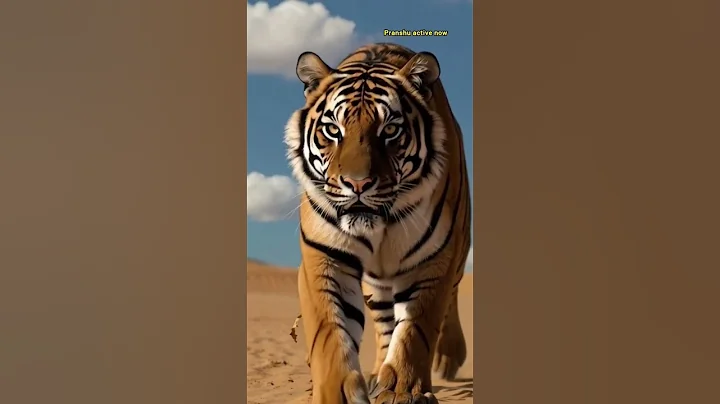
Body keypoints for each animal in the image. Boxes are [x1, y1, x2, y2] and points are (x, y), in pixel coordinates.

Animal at [285, 43, 471, 404]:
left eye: (390, 131)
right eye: (333, 130)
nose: (357, 184)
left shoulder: (433, 259)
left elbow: (415, 329)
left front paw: (404, 391)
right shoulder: (326, 255)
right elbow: (330, 331)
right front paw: (335, 392)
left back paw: (446, 357)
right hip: (379, 284)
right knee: (385, 323)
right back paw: (377, 375)